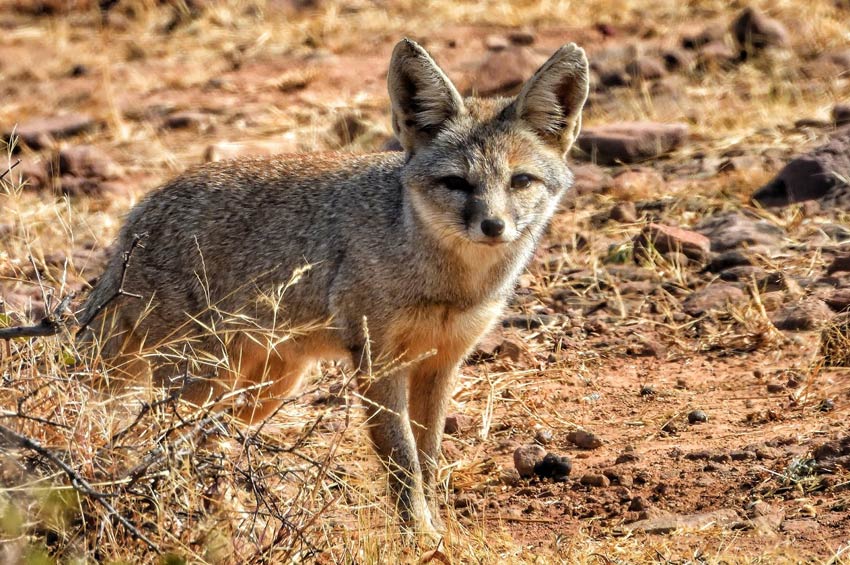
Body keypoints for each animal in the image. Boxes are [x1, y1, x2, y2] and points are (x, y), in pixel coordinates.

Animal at [76, 37, 588, 536]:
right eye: (456, 183)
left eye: (520, 181)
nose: (493, 225)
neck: (449, 283)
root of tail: (136, 220)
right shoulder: (378, 362)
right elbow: (403, 460)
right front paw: (419, 537)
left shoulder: (440, 363)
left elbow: (428, 459)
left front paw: (439, 529)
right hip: (203, 378)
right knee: (163, 442)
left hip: (265, 386)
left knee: (207, 440)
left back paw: (225, 517)